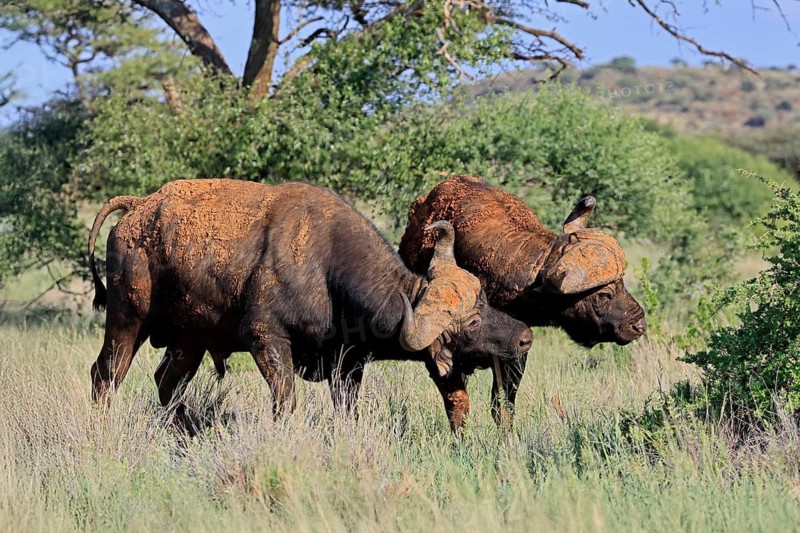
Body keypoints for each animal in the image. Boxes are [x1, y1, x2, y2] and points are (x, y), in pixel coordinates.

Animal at [88, 179, 531, 428]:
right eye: (469, 323)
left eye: (485, 298)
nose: (525, 337)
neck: (326, 266)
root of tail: (139, 207)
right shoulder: (266, 340)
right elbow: (286, 402)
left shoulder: (347, 364)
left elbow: (347, 411)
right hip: (127, 320)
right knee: (105, 376)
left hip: (189, 340)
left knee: (167, 382)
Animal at [399, 175, 646, 427]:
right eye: (604, 294)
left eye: (622, 282)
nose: (638, 325)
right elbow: (458, 403)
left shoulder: (515, 353)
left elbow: (503, 404)